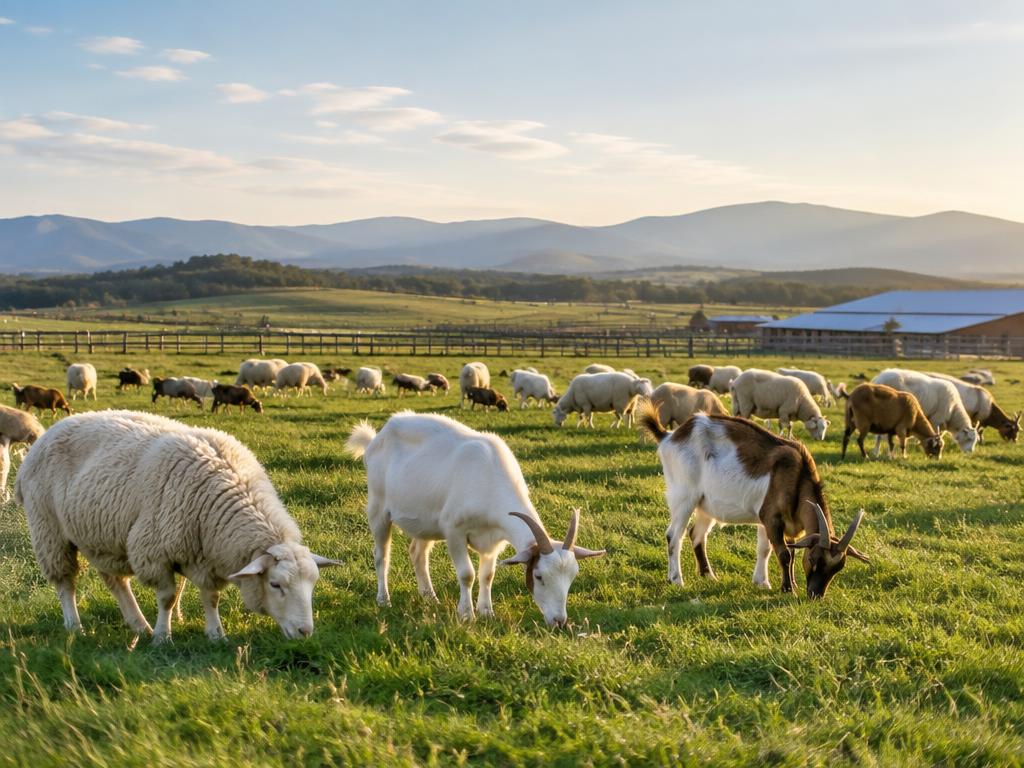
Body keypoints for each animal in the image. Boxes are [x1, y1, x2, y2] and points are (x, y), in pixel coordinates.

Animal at [15, 410, 340, 642]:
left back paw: (138, 625)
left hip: (100, 534)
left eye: (313, 584)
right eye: (275, 584)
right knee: (65, 583)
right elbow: (168, 598)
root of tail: (51, 431)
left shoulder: (206, 555)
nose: (305, 633)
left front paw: (216, 635)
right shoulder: (152, 551)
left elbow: (211, 597)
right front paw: (163, 637)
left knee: (115, 581)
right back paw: (75, 625)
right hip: (49, 529)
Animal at [344, 411, 604, 626]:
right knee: (381, 556)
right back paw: (384, 599)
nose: (559, 621)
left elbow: (487, 575)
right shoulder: (454, 530)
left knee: (418, 554)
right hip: (378, 508)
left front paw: (487, 611)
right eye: (539, 576)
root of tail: (375, 439)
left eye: (572, 577)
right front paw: (467, 614)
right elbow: (467, 574)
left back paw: (430, 598)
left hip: (426, 520)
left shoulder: (495, 541)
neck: (490, 478)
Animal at [639, 402, 869, 598]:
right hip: (684, 497)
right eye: (813, 559)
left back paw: (708, 575)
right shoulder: (771, 517)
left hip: (705, 505)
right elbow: (784, 554)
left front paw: (765, 583)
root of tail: (670, 436)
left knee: (697, 534)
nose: (815, 594)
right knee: (674, 535)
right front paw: (787, 589)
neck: (797, 476)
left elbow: (770, 550)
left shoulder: (781, 523)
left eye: (838, 567)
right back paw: (676, 580)